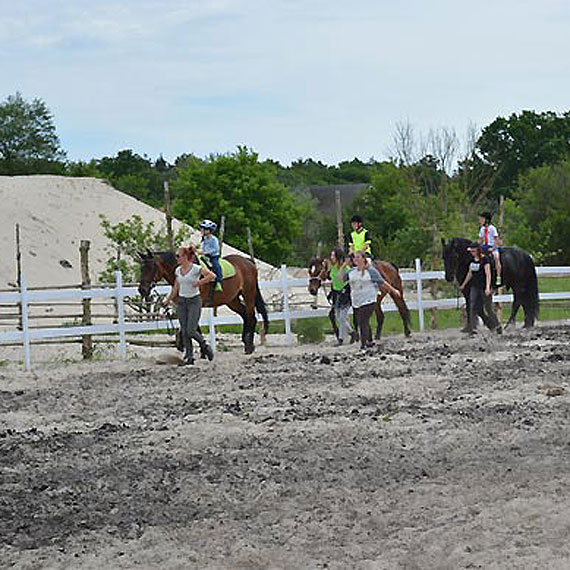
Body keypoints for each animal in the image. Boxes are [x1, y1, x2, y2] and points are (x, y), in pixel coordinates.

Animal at [139, 251, 268, 352]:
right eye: (141, 268)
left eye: (151, 267)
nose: (142, 290)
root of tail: (248, 262)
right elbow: (191, 327)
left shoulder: (195, 305)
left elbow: (194, 327)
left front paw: (203, 350)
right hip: (232, 300)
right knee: (245, 315)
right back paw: (245, 342)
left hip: (248, 294)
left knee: (251, 316)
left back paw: (249, 346)